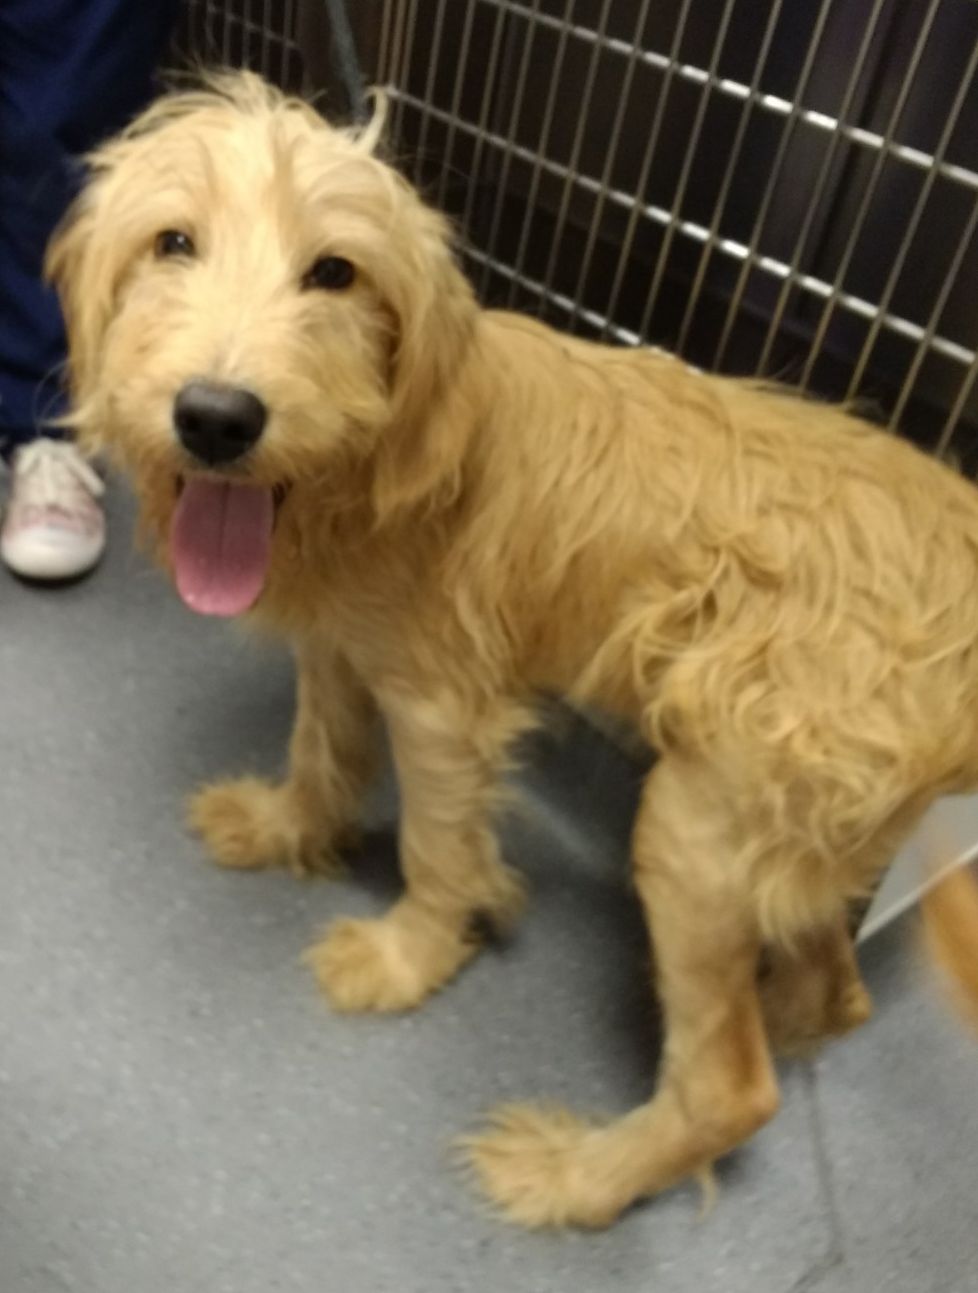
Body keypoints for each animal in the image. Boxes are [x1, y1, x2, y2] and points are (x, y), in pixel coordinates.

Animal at [48, 71, 978, 1229]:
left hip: (696, 830)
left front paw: (407, 959)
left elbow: (437, 853)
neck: (376, 463)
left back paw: (579, 1176)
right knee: (834, 990)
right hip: (801, 826)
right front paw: (285, 829)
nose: (218, 417)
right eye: (173, 242)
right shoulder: (341, 653)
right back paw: (768, 1003)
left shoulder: (443, 711)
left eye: (335, 271)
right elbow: (319, 754)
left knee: (734, 1089)